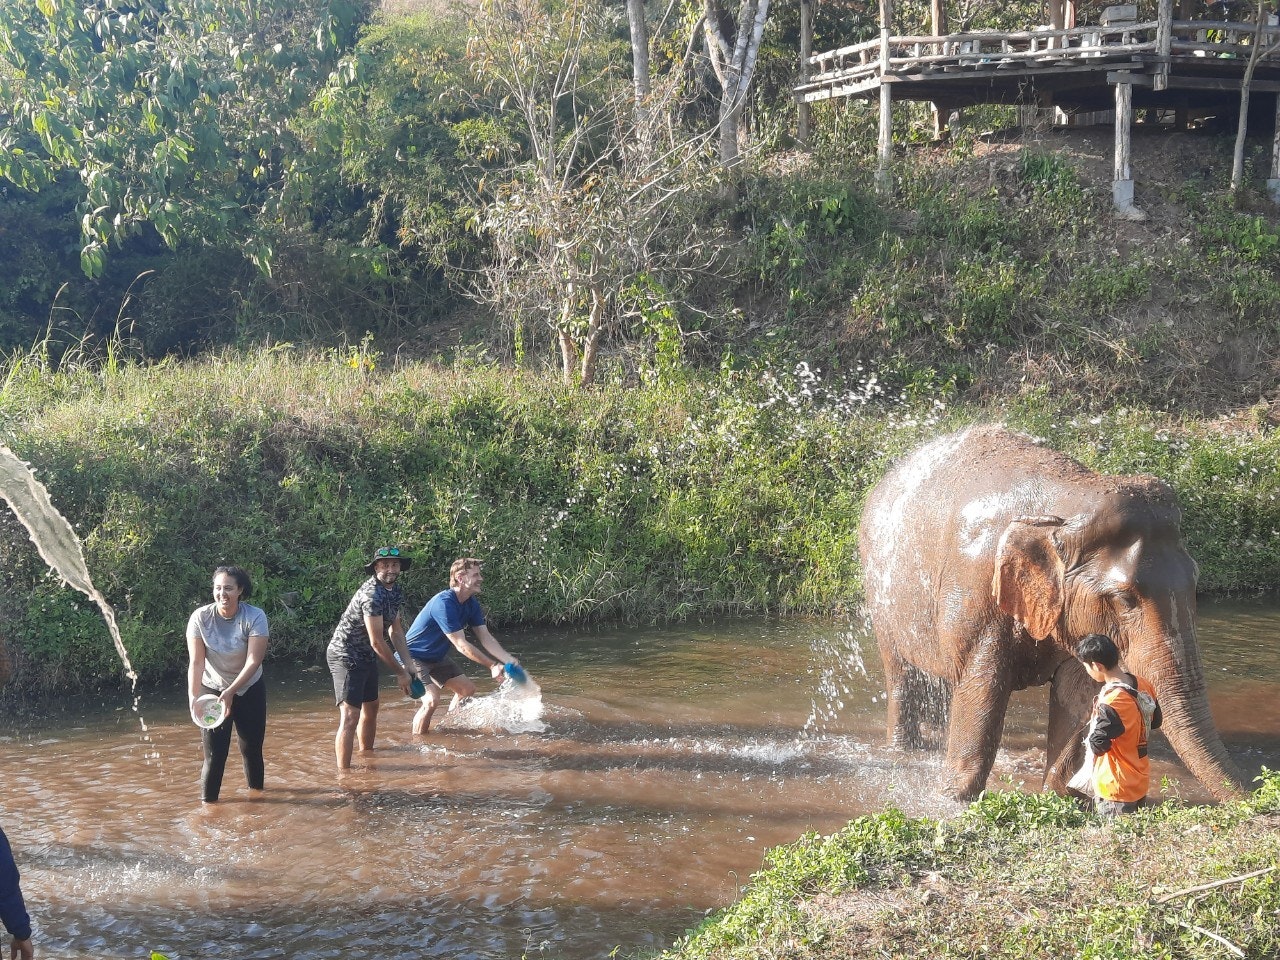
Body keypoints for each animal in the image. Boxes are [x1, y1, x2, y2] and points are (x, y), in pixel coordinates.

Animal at [858, 423, 1246, 802]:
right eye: (1124, 598)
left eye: (1195, 581)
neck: (1068, 501)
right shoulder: (975, 591)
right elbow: (984, 686)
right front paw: (953, 798)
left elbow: (1077, 692)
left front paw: (1057, 795)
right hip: (880, 594)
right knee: (901, 672)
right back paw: (904, 749)